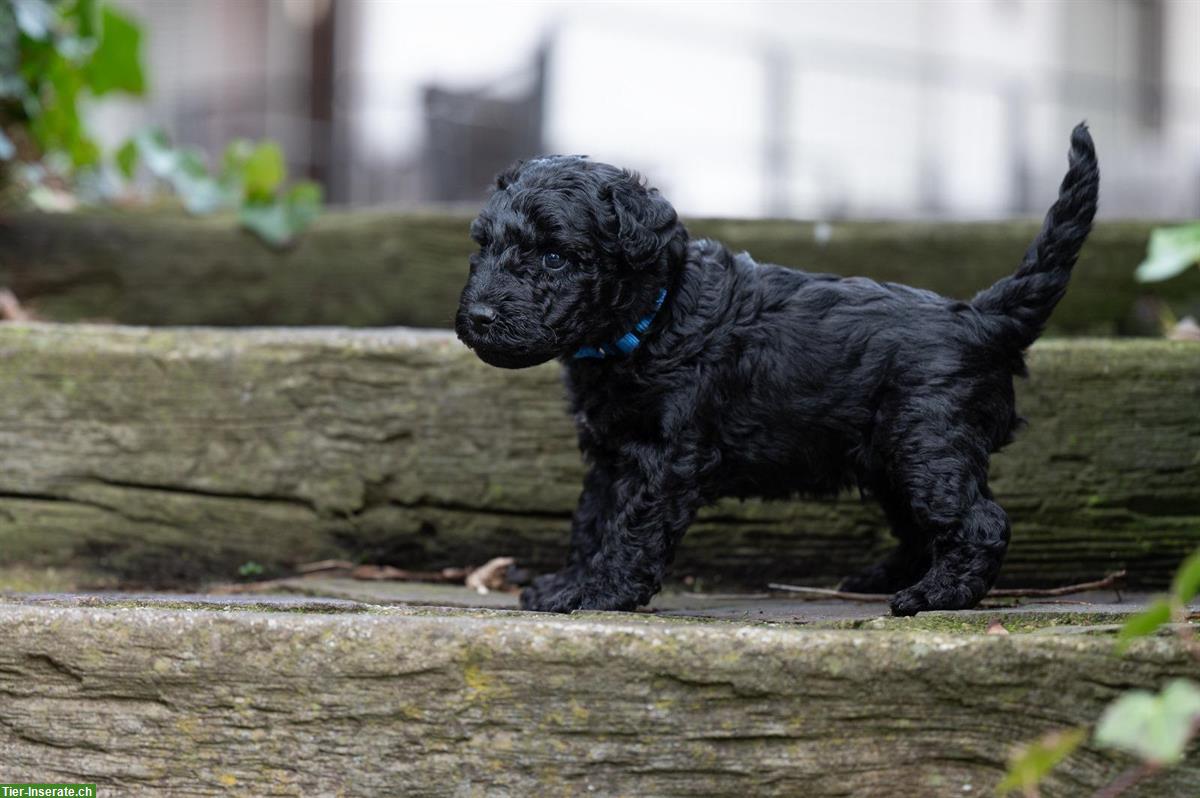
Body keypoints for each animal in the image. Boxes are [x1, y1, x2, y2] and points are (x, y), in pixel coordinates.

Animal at [456, 124, 1099, 612]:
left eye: (554, 257)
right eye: (482, 247)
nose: (479, 316)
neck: (653, 318)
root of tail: (981, 317)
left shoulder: (668, 458)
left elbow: (631, 527)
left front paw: (600, 594)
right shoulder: (611, 454)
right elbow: (591, 520)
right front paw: (565, 584)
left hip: (928, 443)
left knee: (979, 521)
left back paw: (935, 596)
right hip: (892, 458)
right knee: (923, 529)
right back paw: (883, 579)